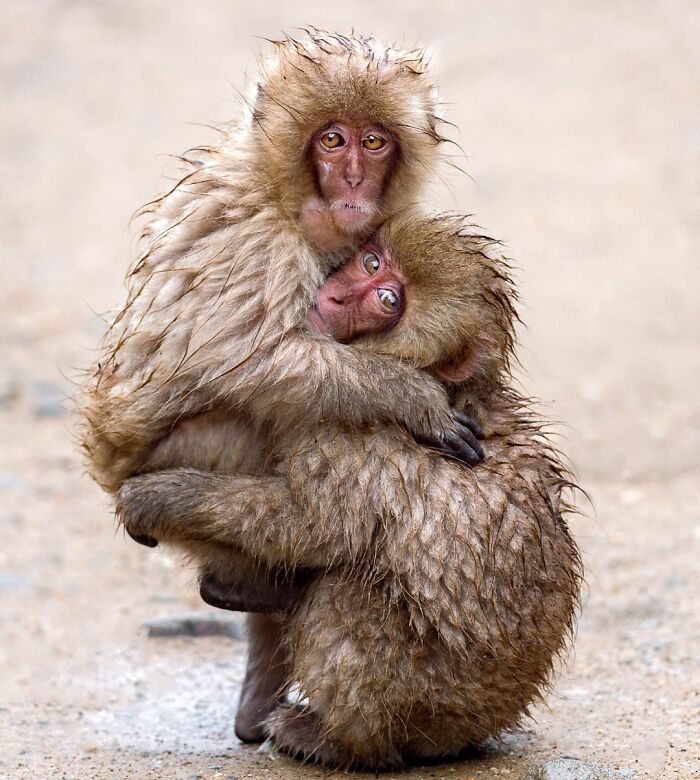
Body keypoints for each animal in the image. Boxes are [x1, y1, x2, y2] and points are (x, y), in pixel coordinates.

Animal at [116, 213, 582, 770]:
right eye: (373, 261)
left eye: (387, 301)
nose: (336, 298)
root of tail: (481, 723)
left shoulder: (346, 429)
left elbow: (312, 528)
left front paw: (161, 497)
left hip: (427, 697)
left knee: (347, 593)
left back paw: (340, 741)